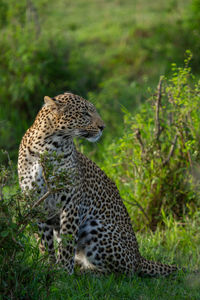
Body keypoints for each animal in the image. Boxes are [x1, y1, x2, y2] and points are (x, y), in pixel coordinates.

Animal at [17, 92, 177, 276]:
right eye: (85, 113)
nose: (103, 127)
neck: (47, 147)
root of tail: (139, 256)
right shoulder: (36, 203)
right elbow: (44, 243)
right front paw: (47, 267)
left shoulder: (71, 202)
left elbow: (67, 242)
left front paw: (63, 272)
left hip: (96, 229)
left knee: (122, 272)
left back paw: (85, 271)